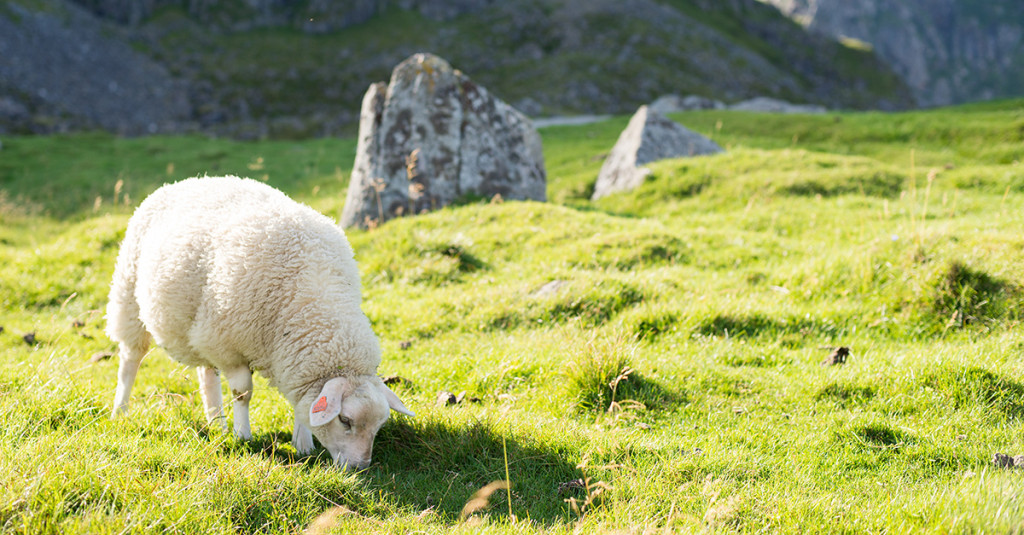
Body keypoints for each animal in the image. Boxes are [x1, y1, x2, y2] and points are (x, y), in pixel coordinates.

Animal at [105, 174, 413, 467]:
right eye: (345, 420)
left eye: (379, 425)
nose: (360, 466)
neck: (312, 300)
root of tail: (184, 181)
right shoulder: (231, 347)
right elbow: (242, 393)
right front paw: (243, 436)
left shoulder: (289, 359)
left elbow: (303, 405)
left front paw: (303, 444)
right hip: (129, 296)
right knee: (130, 362)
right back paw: (120, 410)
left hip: (201, 327)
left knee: (207, 374)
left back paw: (217, 422)